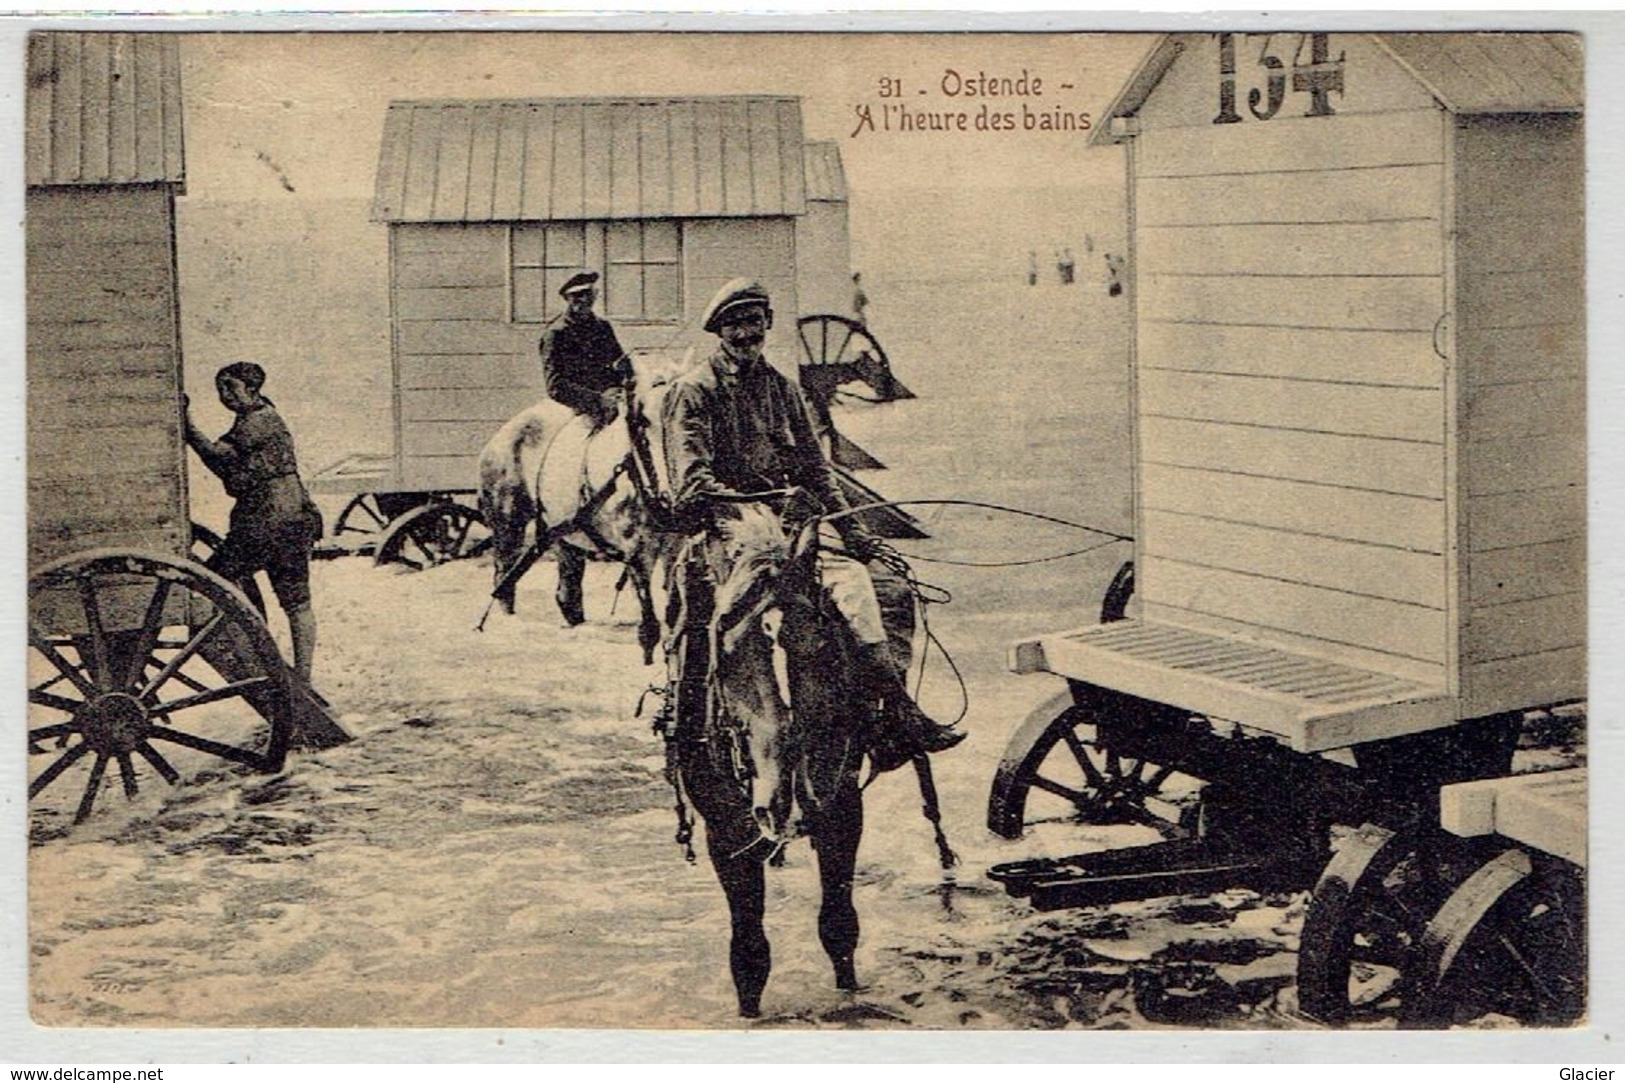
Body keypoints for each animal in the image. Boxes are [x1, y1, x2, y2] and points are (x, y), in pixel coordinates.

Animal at [474, 374, 672, 656]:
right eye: (643, 424)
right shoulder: (636, 547)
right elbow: (649, 618)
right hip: (508, 524)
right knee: (504, 578)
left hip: (562, 533)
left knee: (567, 590)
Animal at [666, 500, 910, 1014]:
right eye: (725, 641)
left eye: (821, 637)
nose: (785, 800)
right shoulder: (726, 831)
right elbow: (749, 950)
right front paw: (749, 1013)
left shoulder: (841, 807)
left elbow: (838, 923)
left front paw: (848, 994)